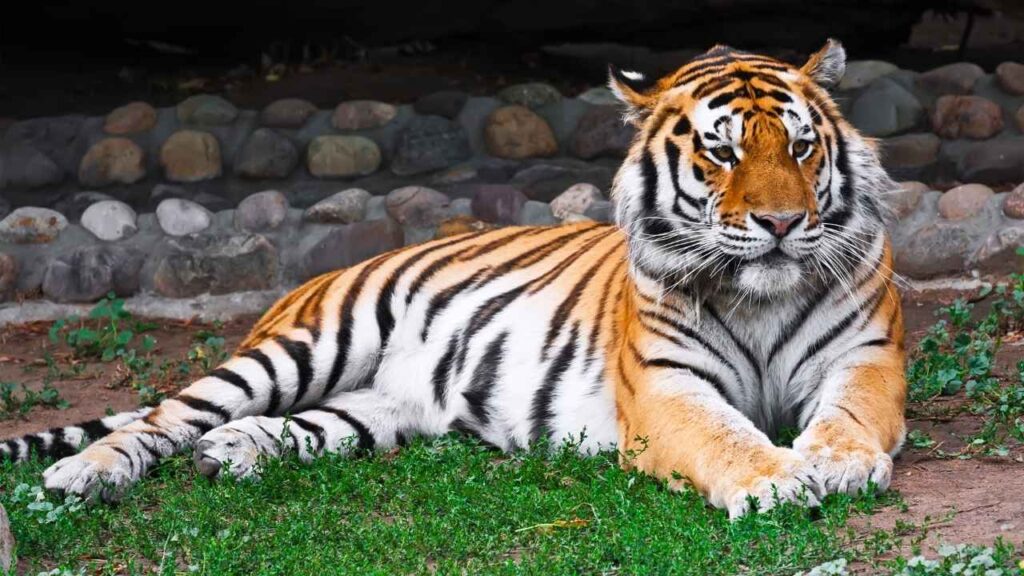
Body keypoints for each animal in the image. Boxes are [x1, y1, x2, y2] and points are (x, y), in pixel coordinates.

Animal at [2, 39, 906, 519]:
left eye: (801, 148)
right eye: (720, 151)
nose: (782, 224)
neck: (757, 298)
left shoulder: (865, 356)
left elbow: (849, 417)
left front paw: (836, 462)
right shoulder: (666, 389)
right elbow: (727, 435)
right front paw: (777, 478)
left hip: (378, 408)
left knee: (285, 427)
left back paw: (231, 452)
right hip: (304, 347)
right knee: (164, 415)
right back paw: (83, 475)